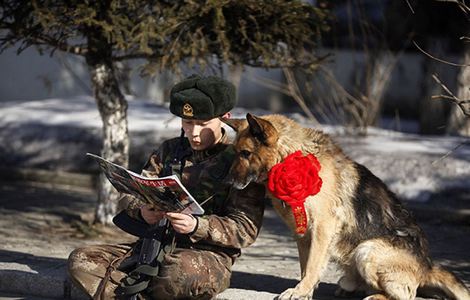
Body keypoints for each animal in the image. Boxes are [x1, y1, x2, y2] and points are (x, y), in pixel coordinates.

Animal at [224, 113, 470, 300]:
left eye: (245, 153)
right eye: (235, 152)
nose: (228, 182)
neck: (289, 156)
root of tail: (427, 266)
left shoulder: (322, 228)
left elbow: (312, 265)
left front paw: (299, 291)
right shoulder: (302, 234)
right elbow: (306, 266)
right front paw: (305, 291)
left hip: (367, 250)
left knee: (406, 295)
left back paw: (375, 296)